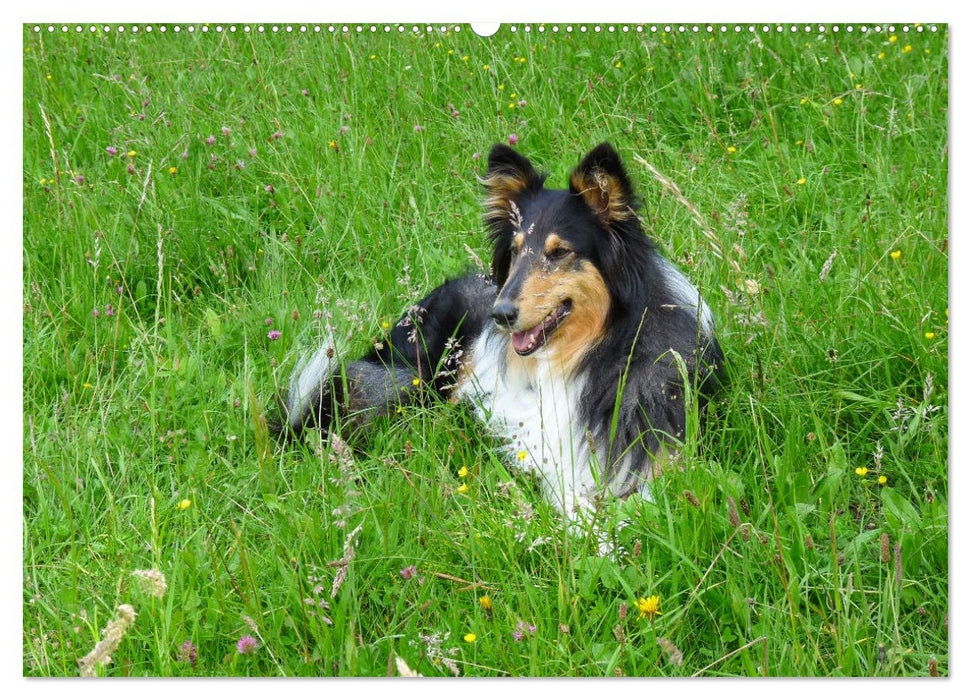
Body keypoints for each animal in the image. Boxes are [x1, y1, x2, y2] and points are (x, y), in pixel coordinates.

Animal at [280, 139, 720, 516]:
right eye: (514, 250)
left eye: (559, 253)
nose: (501, 314)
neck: (593, 353)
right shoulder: (557, 465)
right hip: (418, 381)